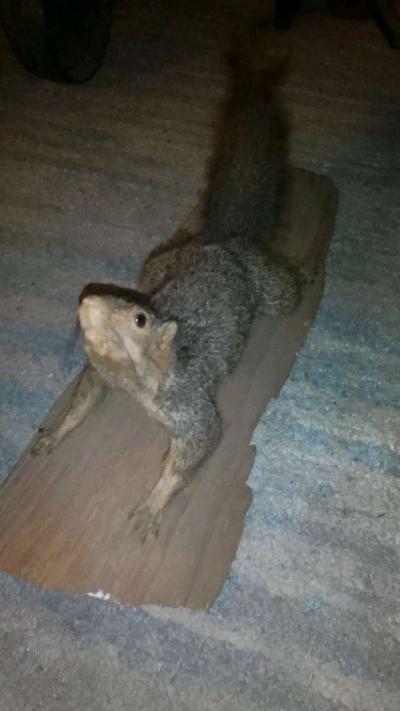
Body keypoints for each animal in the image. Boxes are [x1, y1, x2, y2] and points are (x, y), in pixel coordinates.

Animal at [32, 29, 304, 541]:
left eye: (139, 317)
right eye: (107, 296)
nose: (87, 299)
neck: (134, 382)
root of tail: (218, 240)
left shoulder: (190, 405)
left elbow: (195, 450)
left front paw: (152, 506)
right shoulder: (98, 375)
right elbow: (81, 403)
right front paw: (55, 433)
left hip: (269, 287)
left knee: (287, 291)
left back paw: (305, 272)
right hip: (155, 259)